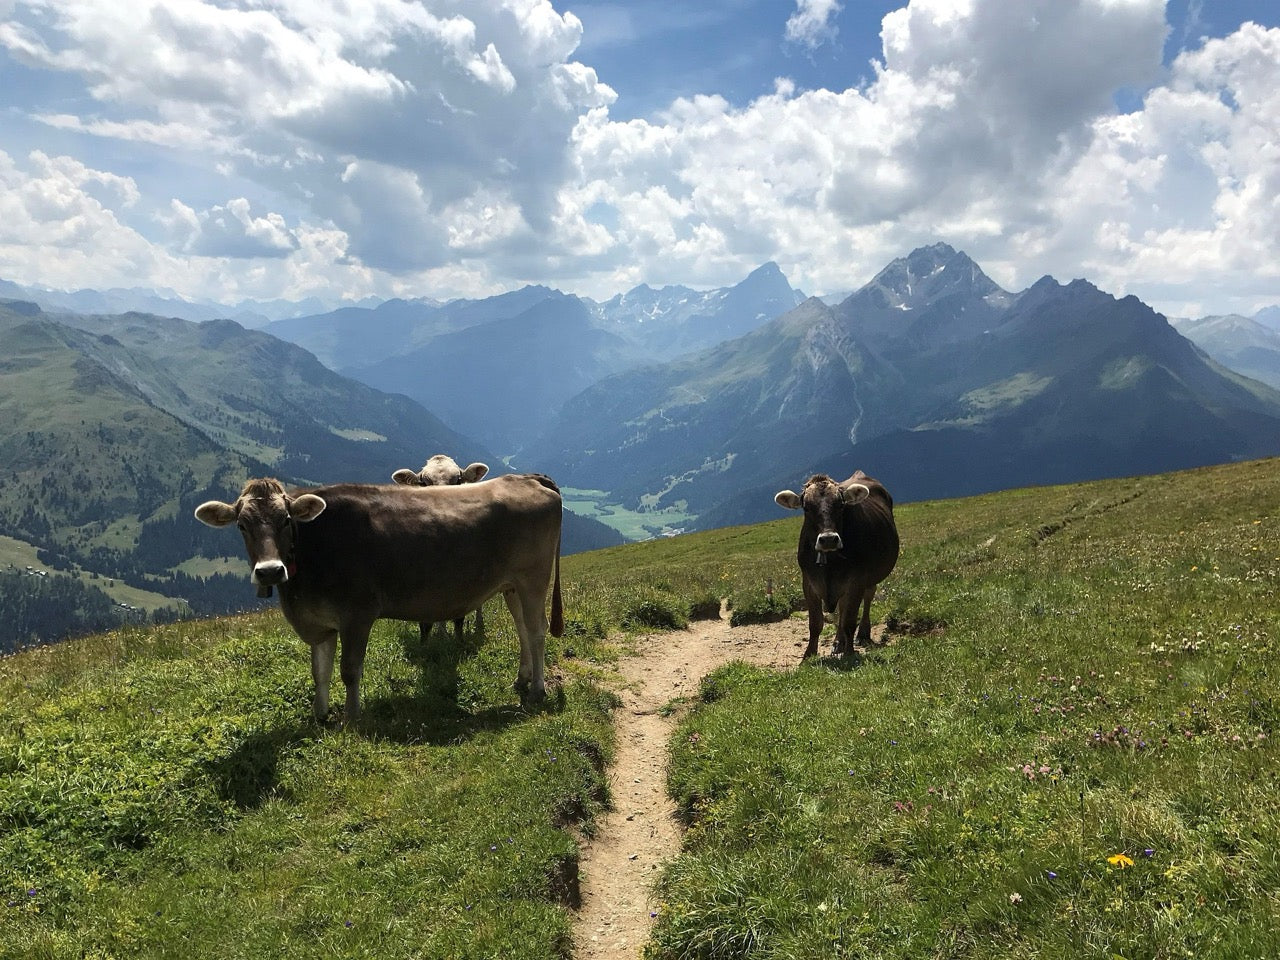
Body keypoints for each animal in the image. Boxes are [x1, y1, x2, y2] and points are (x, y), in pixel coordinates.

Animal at [768, 471, 901, 660]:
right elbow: (816, 623)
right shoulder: (808, 582)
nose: (829, 539)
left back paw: (862, 634)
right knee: (841, 608)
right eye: (806, 508)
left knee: (868, 597)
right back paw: (838, 642)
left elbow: (849, 621)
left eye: (840, 505)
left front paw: (849, 654)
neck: (830, 564)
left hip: (870, 577)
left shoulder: (856, 581)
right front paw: (808, 655)